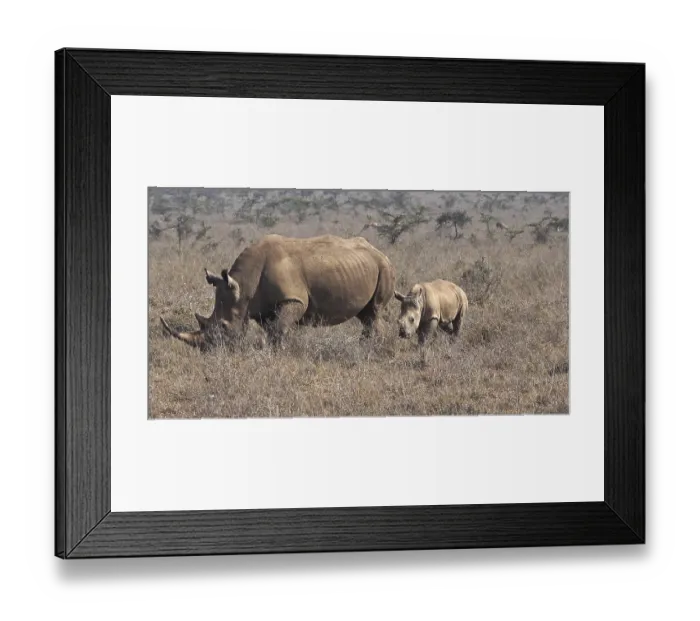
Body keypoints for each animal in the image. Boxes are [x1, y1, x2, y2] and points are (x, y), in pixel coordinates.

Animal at [160, 234, 396, 348]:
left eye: (224, 327)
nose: (208, 350)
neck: (244, 286)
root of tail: (380, 252)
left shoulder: (294, 299)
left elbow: (280, 328)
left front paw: (280, 353)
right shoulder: (261, 307)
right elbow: (271, 330)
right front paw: (273, 351)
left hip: (384, 267)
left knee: (374, 312)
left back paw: (372, 349)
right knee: (366, 315)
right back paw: (366, 347)